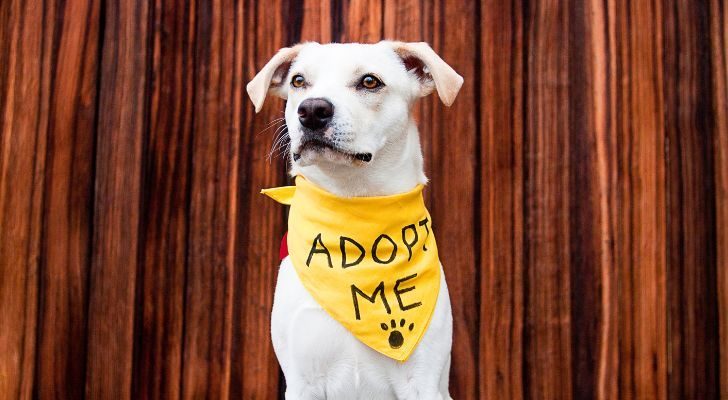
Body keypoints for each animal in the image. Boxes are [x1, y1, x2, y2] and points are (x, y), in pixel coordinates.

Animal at [247, 41, 464, 400]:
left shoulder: (423, 381)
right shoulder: (303, 380)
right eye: (298, 81)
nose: (312, 110)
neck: (353, 205)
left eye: (370, 81)